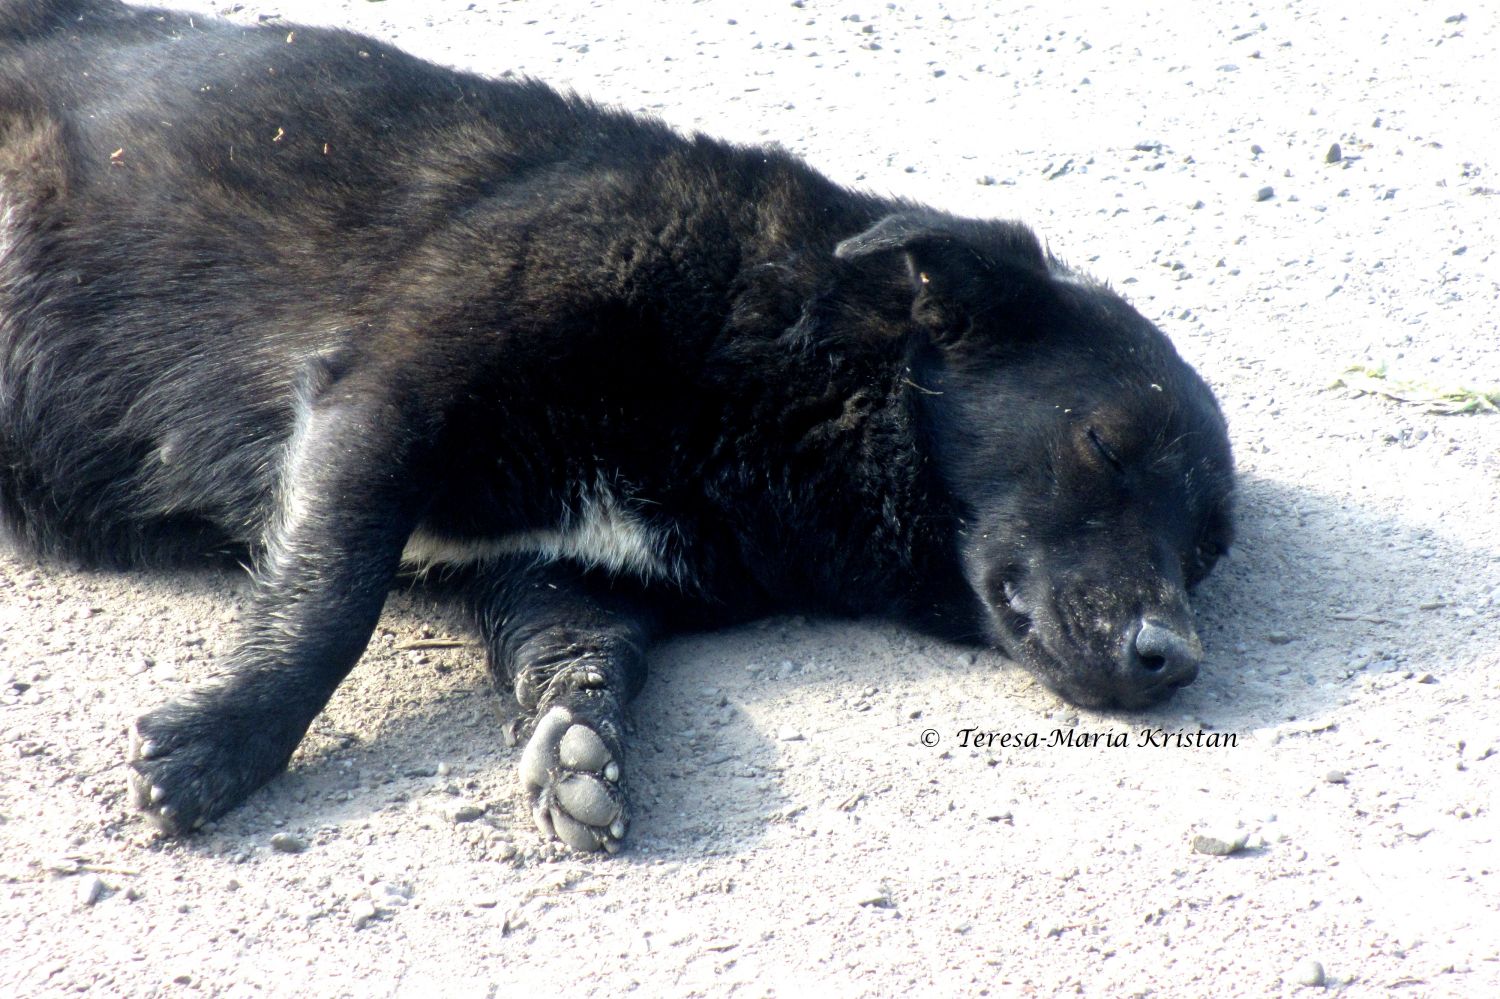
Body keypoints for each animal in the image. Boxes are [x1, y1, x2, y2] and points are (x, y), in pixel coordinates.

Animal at [0, 1, 1230, 846]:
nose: (1172, 659)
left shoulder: (557, 570)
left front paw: (580, 746)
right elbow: (328, 607)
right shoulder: (385, 398)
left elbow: (589, 658)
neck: (777, 356)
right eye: (1105, 447)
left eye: (1206, 554)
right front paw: (226, 743)